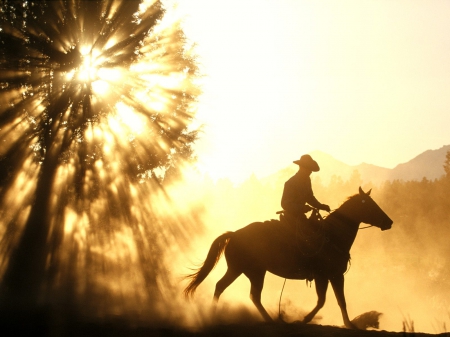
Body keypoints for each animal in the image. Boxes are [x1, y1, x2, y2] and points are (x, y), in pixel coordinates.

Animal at [185, 185, 392, 326]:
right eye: (371, 205)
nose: (389, 222)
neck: (332, 235)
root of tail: (234, 234)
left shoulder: (333, 275)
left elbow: (340, 301)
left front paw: (349, 325)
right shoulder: (325, 276)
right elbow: (325, 301)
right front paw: (304, 319)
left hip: (241, 270)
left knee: (225, 287)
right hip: (252, 271)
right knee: (251, 295)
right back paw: (269, 320)